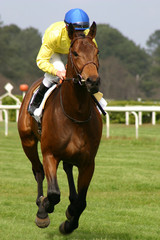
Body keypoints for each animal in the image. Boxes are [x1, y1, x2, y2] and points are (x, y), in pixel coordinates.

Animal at [17, 21, 102, 235]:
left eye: (97, 51)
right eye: (75, 53)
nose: (93, 81)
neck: (76, 114)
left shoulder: (88, 162)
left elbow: (81, 202)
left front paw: (69, 222)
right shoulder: (50, 153)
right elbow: (54, 193)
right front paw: (44, 209)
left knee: (68, 168)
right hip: (28, 141)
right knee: (38, 170)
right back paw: (41, 203)